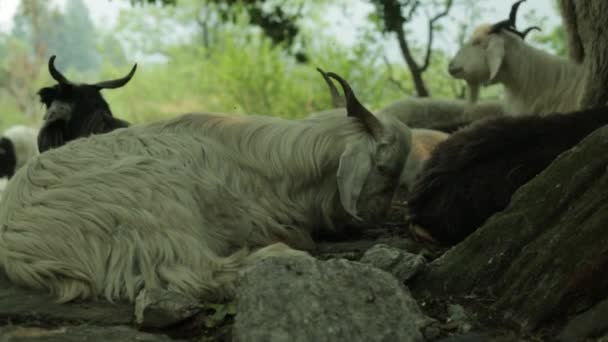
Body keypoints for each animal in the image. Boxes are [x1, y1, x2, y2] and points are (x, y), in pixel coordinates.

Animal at [0, 72, 414, 302]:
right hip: (159, 202)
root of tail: (18, 244)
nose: (377, 218)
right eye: (384, 167)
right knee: (202, 274)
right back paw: (281, 254)